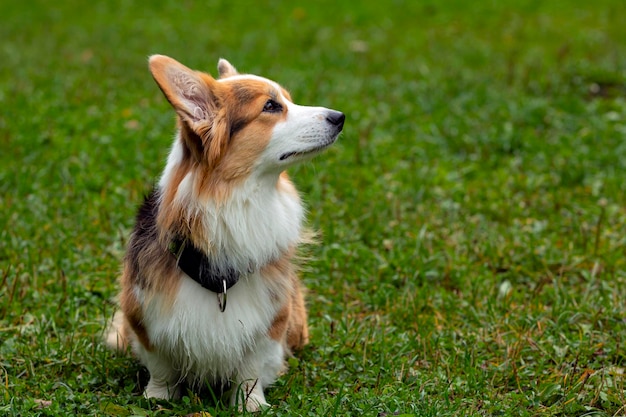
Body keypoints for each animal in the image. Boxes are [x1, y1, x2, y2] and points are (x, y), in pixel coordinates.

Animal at [105, 54, 344, 410]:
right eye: (271, 106)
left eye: (288, 99)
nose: (340, 117)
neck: (234, 200)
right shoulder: (143, 313)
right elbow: (160, 365)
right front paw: (158, 397)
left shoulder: (271, 321)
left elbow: (252, 369)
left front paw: (250, 404)